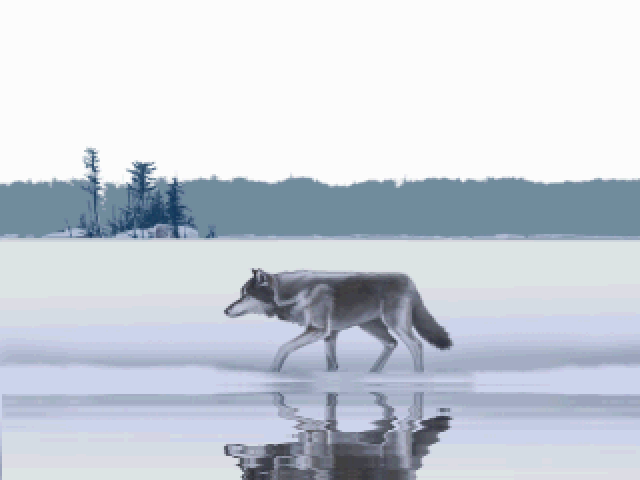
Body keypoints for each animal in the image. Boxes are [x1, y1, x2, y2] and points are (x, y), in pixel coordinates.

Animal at [222, 268, 452, 374]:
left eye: (246, 295)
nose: (225, 310)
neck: (293, 294)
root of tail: (409, 280)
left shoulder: (318, 330)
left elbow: (283, 347)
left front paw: (272, 373)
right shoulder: (330, 335)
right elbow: (331, 364)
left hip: (395, 325)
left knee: (416, 344)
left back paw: (418, 375)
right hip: (370, 326)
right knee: (391, 343)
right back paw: (373, 373)